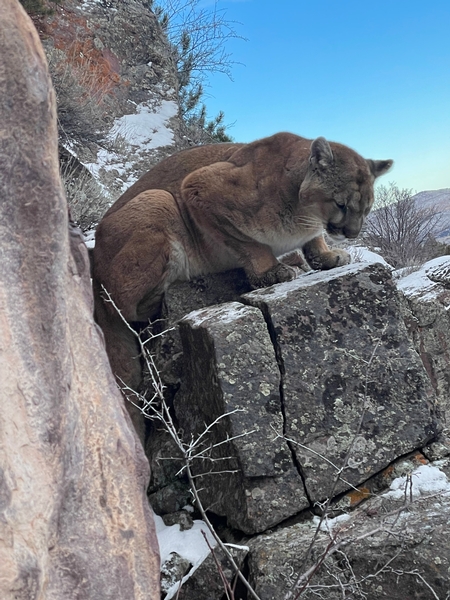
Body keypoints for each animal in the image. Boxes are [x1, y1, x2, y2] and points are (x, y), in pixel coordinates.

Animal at [93, 132, 392, 390]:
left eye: (366, 209)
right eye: (341, 204)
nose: (352, 233)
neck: (303, 212)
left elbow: (314, 239)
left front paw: (326, 255)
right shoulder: (199, 188)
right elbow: (250, 245)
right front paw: (271, 270)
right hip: (158, 199)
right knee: (123, 305)